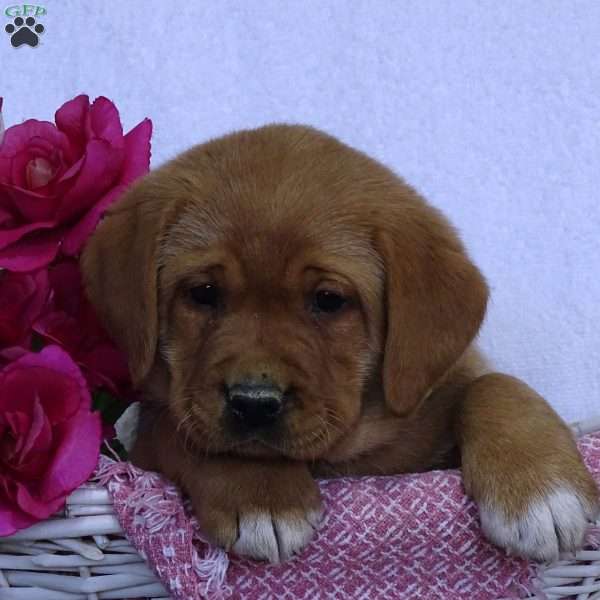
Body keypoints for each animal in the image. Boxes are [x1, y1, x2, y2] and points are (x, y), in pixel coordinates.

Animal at [82, 124, 596, 564]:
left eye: (329, 300)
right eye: (203, 293)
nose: (253, 403)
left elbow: (496, 385)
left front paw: (540, 491)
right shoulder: (150, 439)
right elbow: (183, 432)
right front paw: (261, 494)